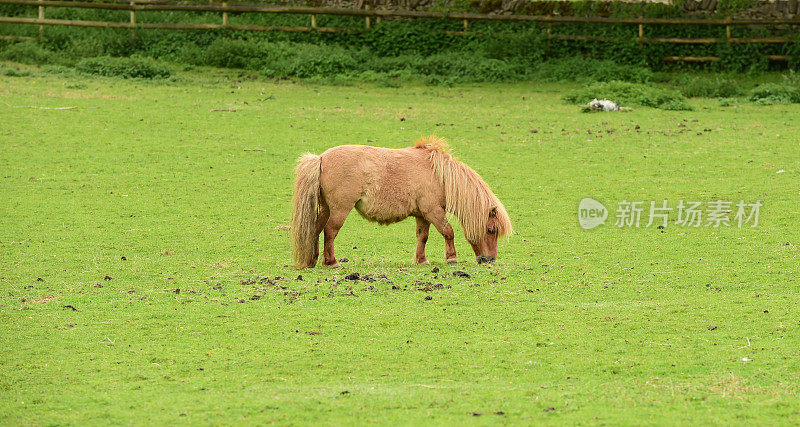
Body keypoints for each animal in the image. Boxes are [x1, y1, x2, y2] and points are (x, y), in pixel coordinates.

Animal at [290, 135, 510, 270]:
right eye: (490, 230)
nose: (489, 260)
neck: (439, 175)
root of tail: (320, 159)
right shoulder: (433, 211)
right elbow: (448, 232)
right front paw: (451, 258)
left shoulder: (422, 215)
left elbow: (423, 237)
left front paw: (422, 260)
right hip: (339, 210)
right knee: (329, 232)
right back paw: (332, 262)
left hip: (326, 208)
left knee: (315, 229)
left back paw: (313, 260)